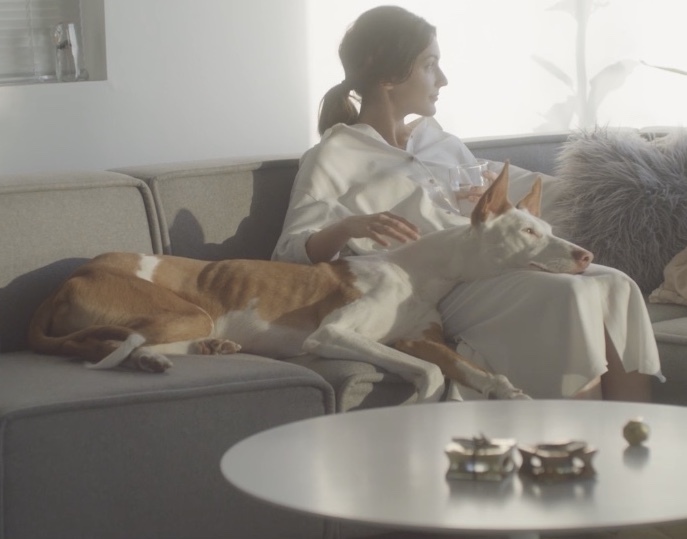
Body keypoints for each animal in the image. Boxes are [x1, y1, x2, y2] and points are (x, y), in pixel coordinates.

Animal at [28, 163, 593, 400]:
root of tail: (70, 277)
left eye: (550, 229)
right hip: (187, 309)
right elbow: (432, 375)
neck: (419, 273)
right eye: (527, 231)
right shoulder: (335, 333)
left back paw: (188, 354)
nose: (586, 254)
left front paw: (505, 389)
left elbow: (467, 367)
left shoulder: (419, 336)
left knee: (133, 343)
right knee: (104, 345)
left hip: (190, 319)